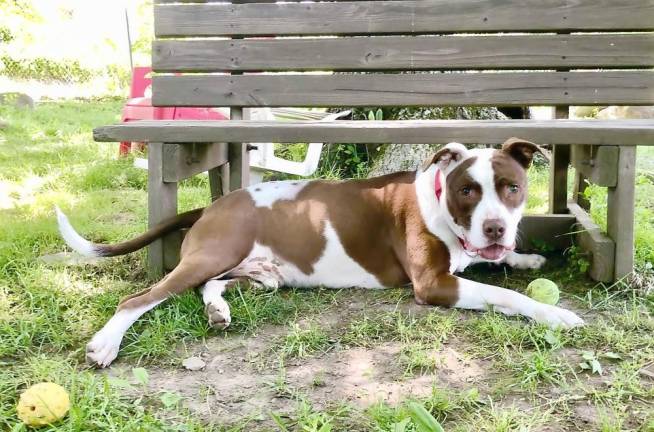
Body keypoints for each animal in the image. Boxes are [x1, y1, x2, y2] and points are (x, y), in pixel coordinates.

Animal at [57, 139, 584, 368]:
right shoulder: (435, 284)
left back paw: (218, 312)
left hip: (262, 274)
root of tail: (214, 204)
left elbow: (497, 261)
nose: (496, 227)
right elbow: (508, 296)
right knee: (140, 299)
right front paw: (556, 314)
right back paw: (106, 344)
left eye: (512, 188)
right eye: (468, 191)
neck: (440, 205)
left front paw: (526, 259)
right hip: (212, 255)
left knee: (211, 285)